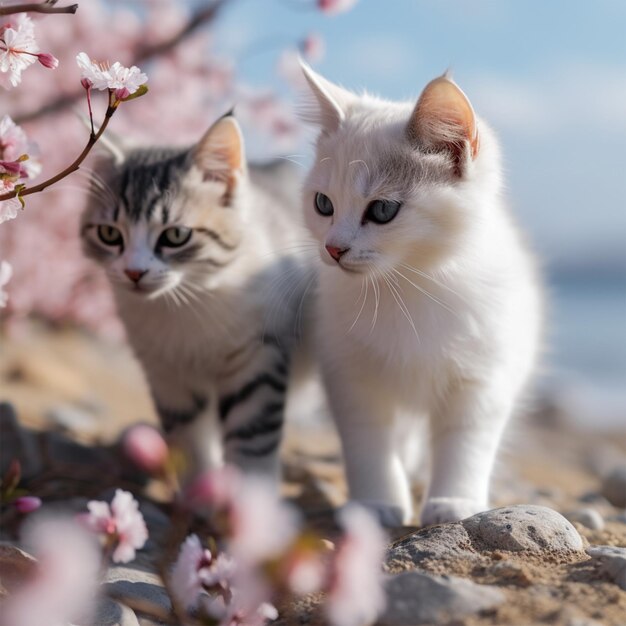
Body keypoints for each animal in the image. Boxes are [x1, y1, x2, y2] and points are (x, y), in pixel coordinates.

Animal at [80, 114, 310, 480]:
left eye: (175, 235)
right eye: (109, 234)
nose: (133, 272)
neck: (184, 306)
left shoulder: (258, 356)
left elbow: (252, 438)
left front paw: (249, 496)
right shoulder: (167, 375)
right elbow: (189, 444)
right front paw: (199, 490)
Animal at [300, 63, 540, 524]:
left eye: (381, 210)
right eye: (323, 204)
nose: (333, 249)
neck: (407, 284)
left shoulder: (484, 375)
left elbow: (465, 441)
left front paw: (455, 501)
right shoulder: (349, 372)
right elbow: (368, 442)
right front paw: (376, 502)